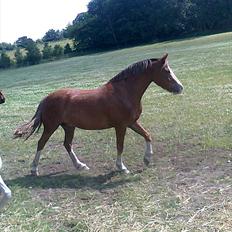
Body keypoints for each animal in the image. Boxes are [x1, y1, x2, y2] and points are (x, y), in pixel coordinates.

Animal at [14, 54, 183, 176]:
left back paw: (80, 166)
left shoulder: (132, 122)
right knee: (41, 143)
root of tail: (46, 99)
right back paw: (34, 170)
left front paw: (147, 159)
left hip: (69, 127)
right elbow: (120, 146)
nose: (180, 87)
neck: (124, 92)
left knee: (67, 144)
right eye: (167, 71)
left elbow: (147, 135)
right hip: (51, 127)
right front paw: (121, 168)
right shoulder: (121, 126)